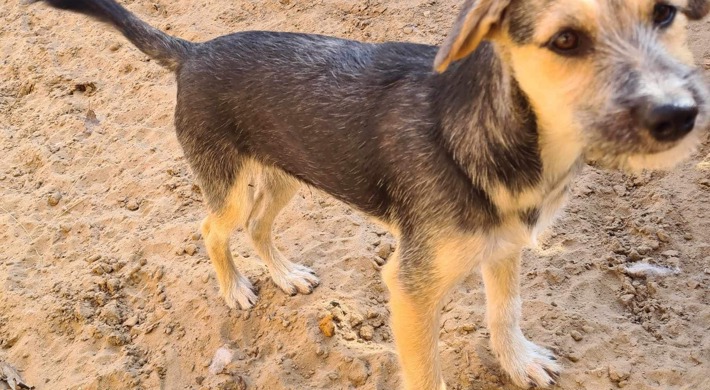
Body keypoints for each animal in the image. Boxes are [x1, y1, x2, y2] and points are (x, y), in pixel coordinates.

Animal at [40, 0, 710, 388]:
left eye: (666, 14)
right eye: (565, 40)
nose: (679, 114)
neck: (511, 137)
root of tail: (194, 51)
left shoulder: (504, 247)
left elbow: (505, 311)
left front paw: (517, 362)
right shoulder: (410, 289)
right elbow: (426, 373)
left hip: (287, 172)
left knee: (258, 225)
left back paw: (284, 275)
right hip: (228, 181)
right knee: (213, 228)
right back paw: (235, 288)